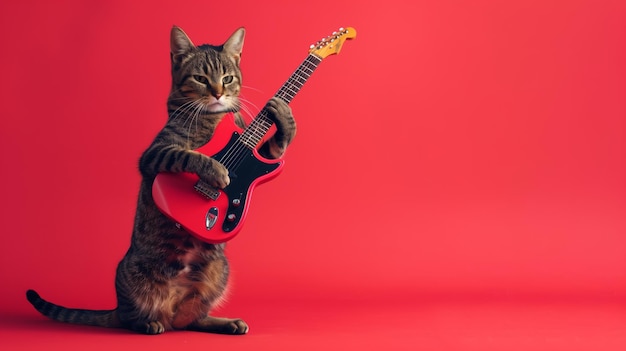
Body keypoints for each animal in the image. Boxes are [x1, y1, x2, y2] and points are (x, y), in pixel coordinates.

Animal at [26, 26, 294, 336]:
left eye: (227, 78)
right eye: (201, 79)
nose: (218, 94)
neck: (213, 118)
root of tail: (171, 308)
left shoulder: (260, 152)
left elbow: (276, 147)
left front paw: (284, 116)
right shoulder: (154, 154)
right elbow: (189, 156)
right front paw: (217, 172)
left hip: (219, 270)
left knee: (191, 318)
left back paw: (224, 323)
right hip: (136, 278)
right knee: (132, 318)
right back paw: (148, 323)